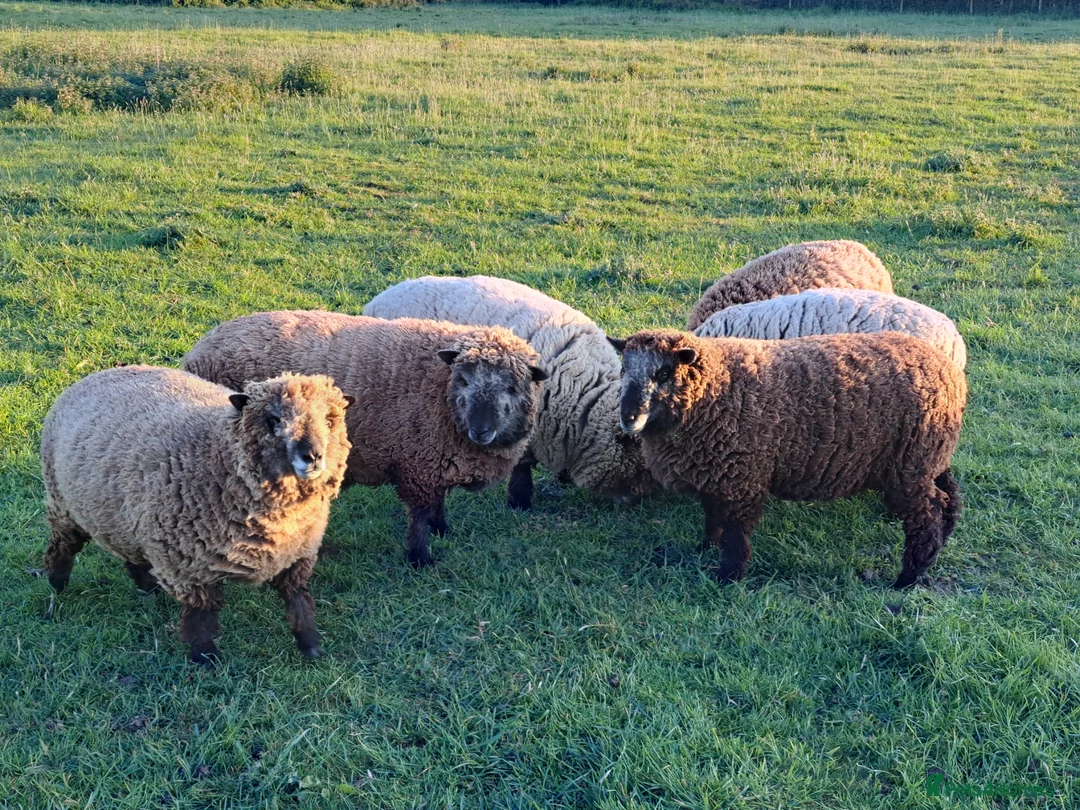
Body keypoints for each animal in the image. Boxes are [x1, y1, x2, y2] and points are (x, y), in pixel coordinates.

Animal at [41, 366, 352, 665]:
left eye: (329, 420)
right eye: (273, 420)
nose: (313, 456)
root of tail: (96, 375)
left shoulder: (298, 553)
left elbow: (299, 600)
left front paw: (310, 645)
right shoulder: (188, 565)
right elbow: (201, 613)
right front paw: (205, 657)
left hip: (124, 519)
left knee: (132, 555)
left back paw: (147, 588)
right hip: (63, 504)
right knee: (63, 545)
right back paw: (56, 583)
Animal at [182, 310, 548, 568]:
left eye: (511, 387)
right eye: (465, 380)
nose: (481, 430)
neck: (439, 391)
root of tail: (195, 352)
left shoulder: (435, 462)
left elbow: (438, 502)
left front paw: (442, 529)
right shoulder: (418, 462)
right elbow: (419, 513)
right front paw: (420, 558)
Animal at [612, 329, 966, 589]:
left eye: (664, 372)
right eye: (623, 369)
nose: (627, 418)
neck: (716, 390)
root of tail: (949, 370)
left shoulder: (743, 479)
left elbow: (735, 534)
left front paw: (728, 577)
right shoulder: (717, 474)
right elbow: (713, 518)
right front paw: (705, 548)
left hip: (909, 466)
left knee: (926, 516)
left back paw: (908, 577)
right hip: (927, 458)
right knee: (948, 495)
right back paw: (941, 542)